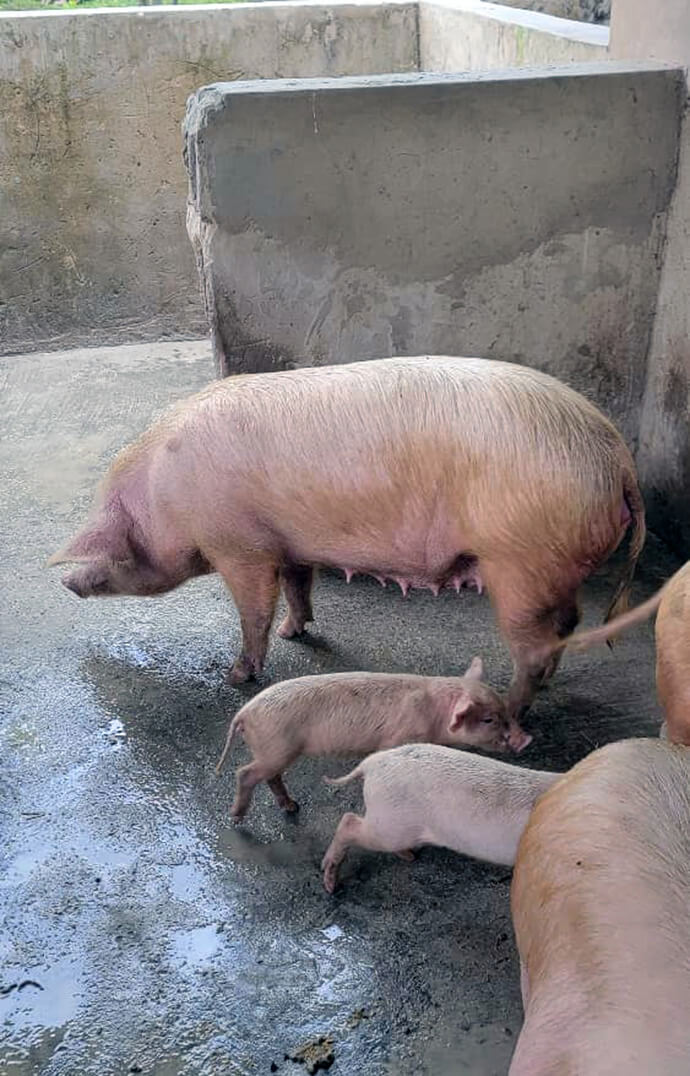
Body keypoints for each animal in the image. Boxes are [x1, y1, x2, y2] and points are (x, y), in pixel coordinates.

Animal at [48, 355, 644, 723]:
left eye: (109, 548)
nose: (68, 583)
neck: (162, 497)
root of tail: (616, 456)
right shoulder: (287, 543)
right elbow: (297, 587)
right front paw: (294, 633)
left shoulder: (239, 546)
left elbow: (253, 609)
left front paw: (237, 676)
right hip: (555, 569)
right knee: (567, 625)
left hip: (521, 562)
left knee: (534, 648)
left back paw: (511, 708)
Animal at [215, 657, 529, 820]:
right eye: (489, 719)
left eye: (504, 710)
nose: (525, 738)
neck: (435, 714)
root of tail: (244, 712)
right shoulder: (399, 736)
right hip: (276, 747)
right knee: (245, 773)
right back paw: (237, 816)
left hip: (275, 750)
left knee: (270, 776)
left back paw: (292, 807)